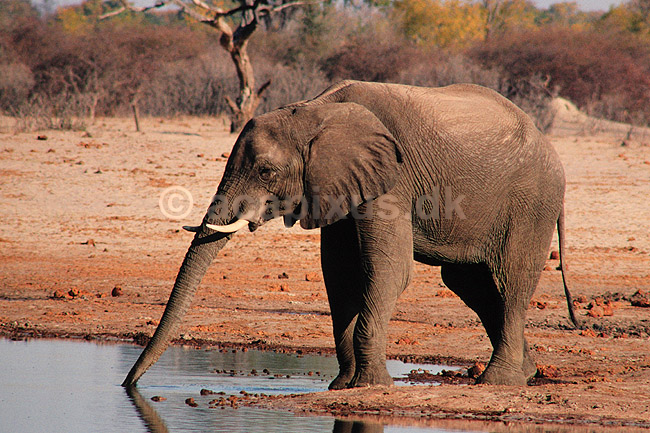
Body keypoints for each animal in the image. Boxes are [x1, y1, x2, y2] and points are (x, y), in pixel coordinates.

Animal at [122, 80, 577, 389]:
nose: (128, 385)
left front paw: (372, 386)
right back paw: (528, 372)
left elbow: (388, 269)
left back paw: (498, 382)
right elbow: (339, 272)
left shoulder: (393, 177)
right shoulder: (335, 183)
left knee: (510, 280)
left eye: (266, 172)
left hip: (531, 202)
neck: (315, 110)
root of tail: (551, 148)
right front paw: (343, 385)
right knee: (472, 285)